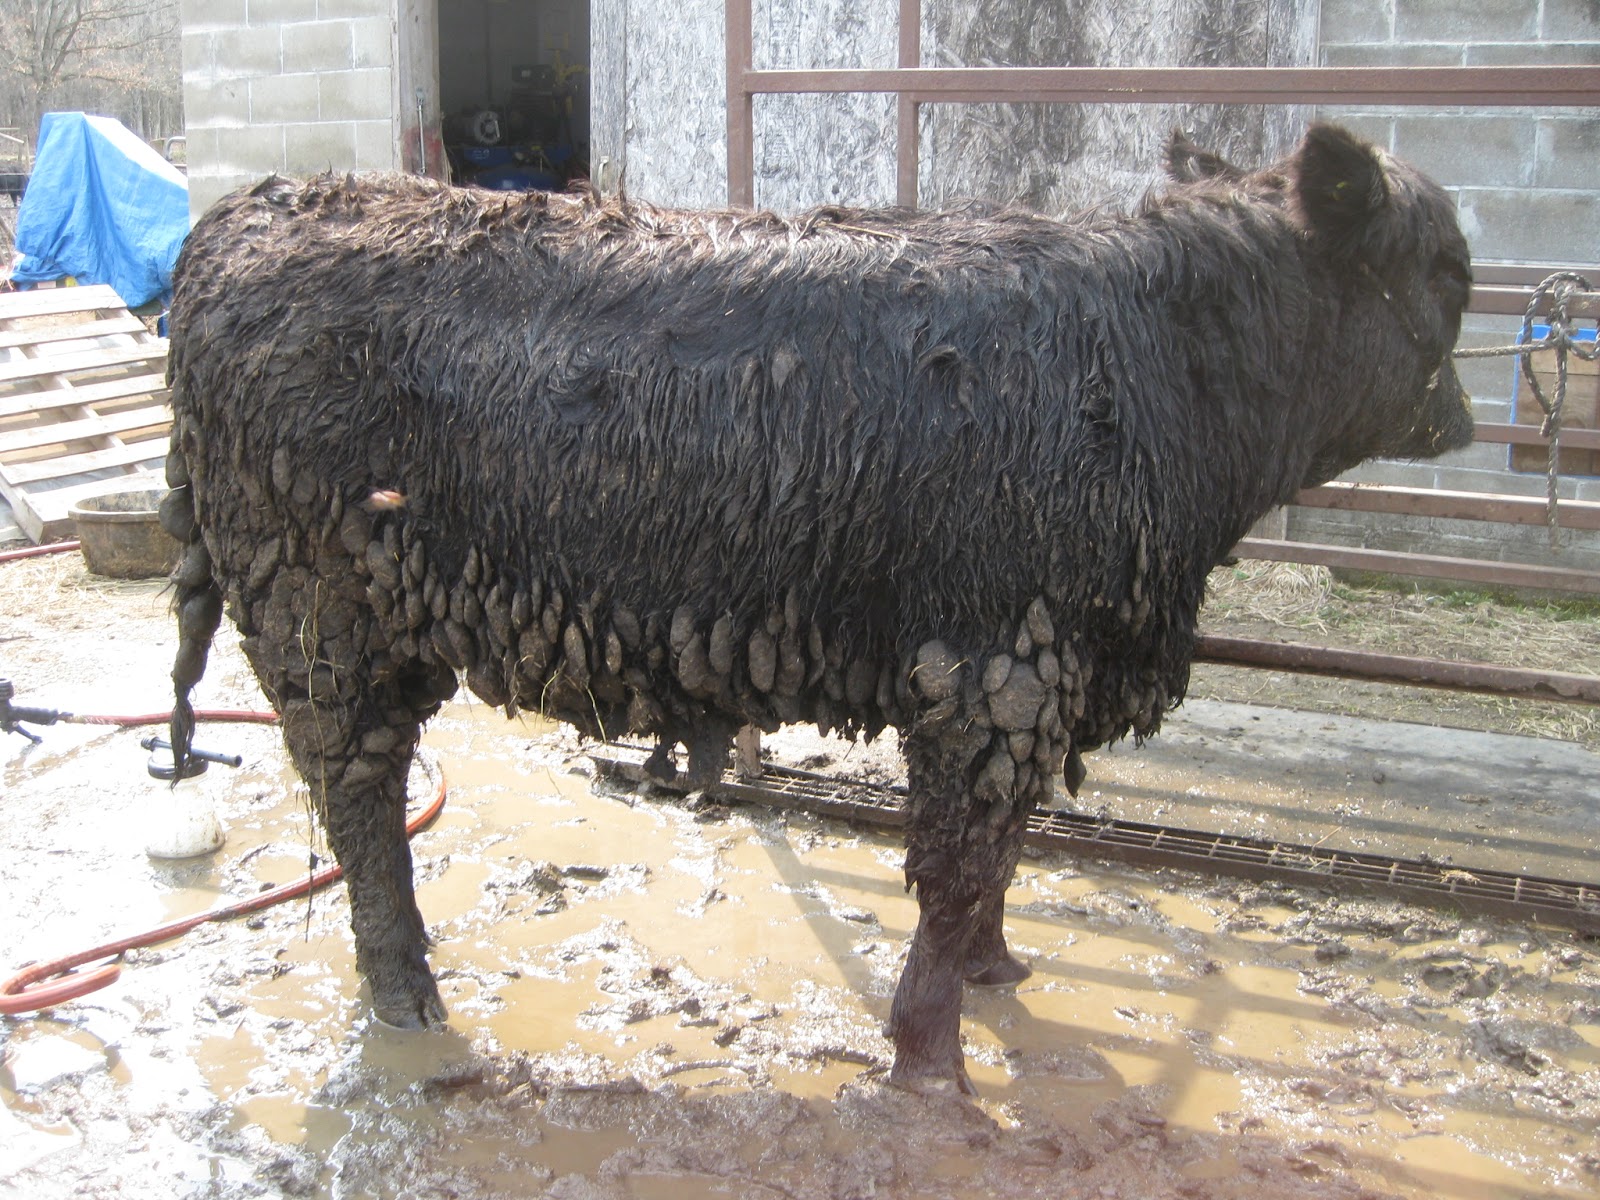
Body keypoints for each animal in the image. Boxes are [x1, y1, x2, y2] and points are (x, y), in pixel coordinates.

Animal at [162, 123, 1474, 1094]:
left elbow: (999, 857)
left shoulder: (1029, 675)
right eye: (1451, 269)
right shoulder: (997, 667)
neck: (1156, 368)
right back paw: (408, 1001)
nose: (1462, 418)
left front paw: (996, 973)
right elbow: (959, 860)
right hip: (318, 615)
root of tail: (247, 211)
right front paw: (931, 1058)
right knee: (361, 805)